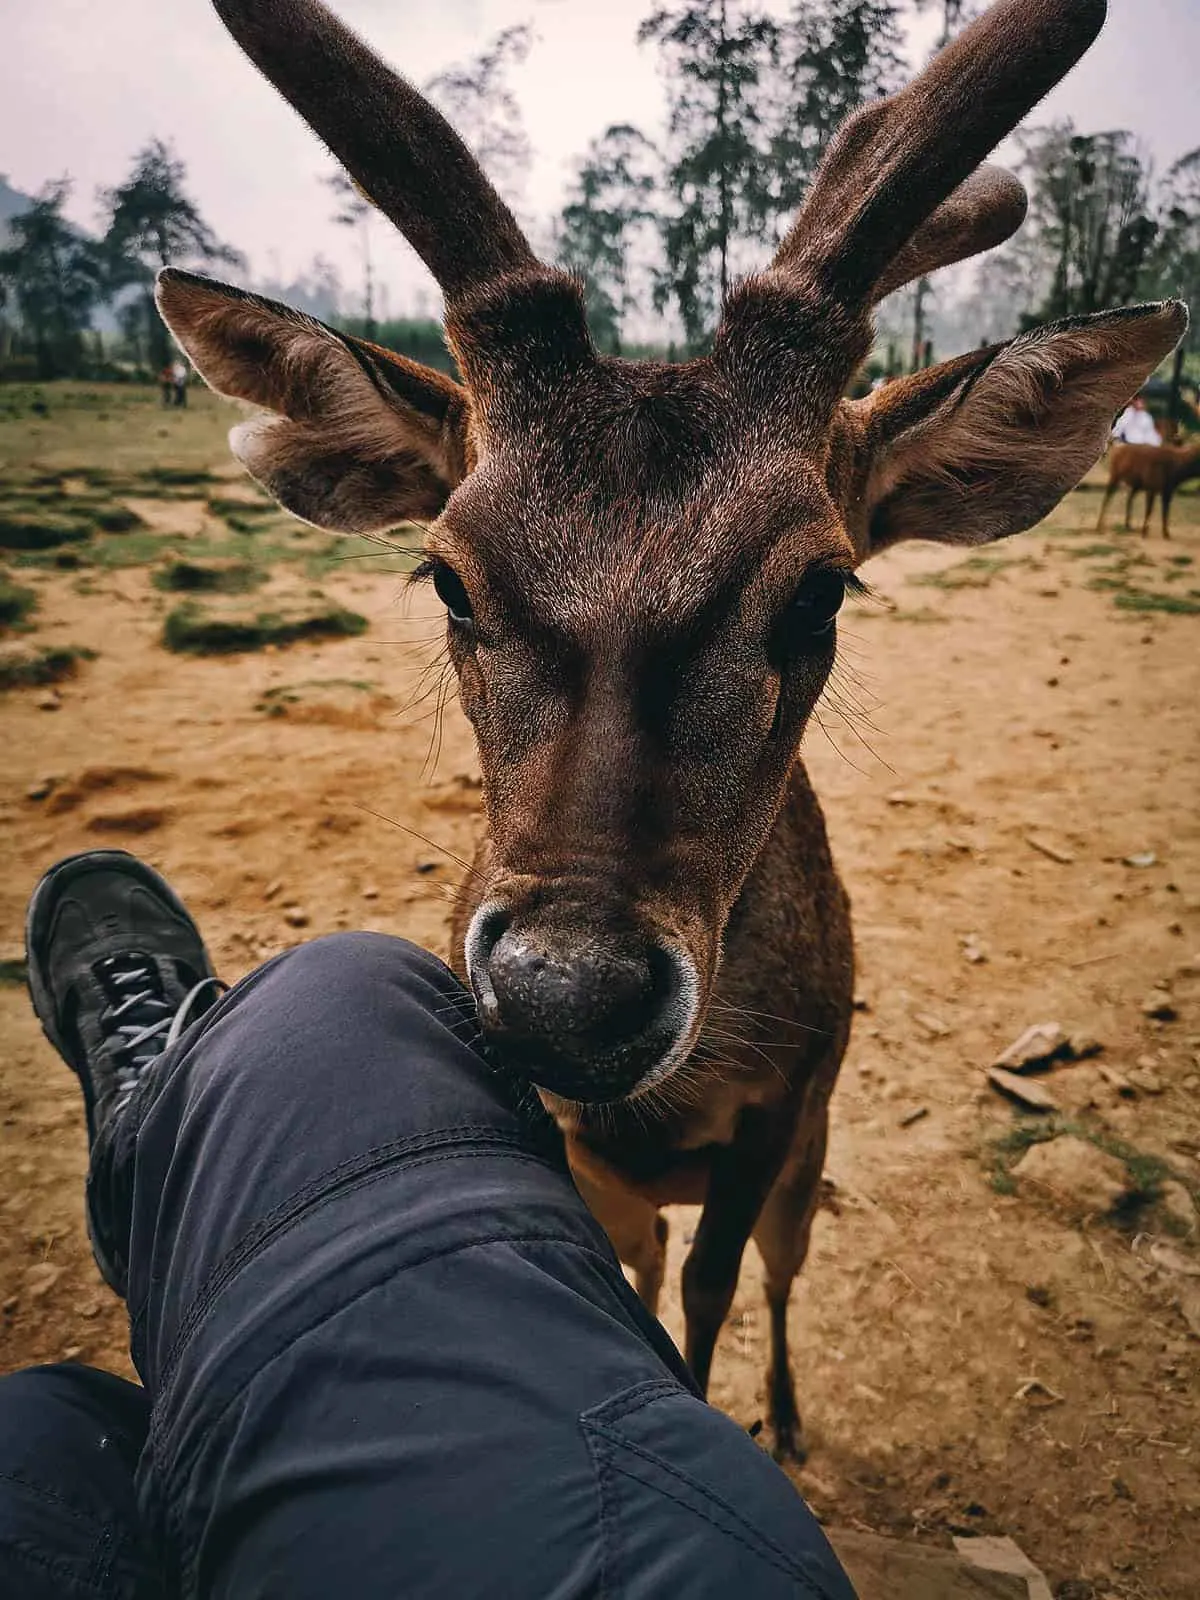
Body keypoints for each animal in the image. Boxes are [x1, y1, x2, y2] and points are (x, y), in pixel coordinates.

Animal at [157, 0, 1184, 1459]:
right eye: (447, 573)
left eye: (821, 589)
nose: (567, 994)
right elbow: (631, 1276)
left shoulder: (789, 1104)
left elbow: (712, 1287)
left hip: (814, 1160)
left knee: (774, 1270)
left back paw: (791, 1416)